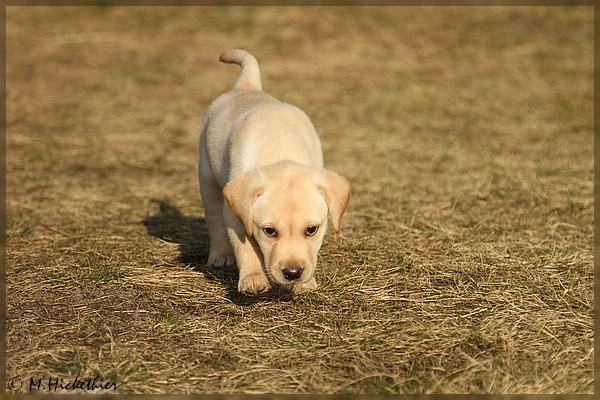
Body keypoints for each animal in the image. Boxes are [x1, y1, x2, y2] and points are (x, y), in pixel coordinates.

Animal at [199, 49, 351, 295]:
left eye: (312, 230)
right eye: (269, 231)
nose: (293, 273)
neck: (280, 151)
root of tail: (247, 87)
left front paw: (305, 283)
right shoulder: (234, 214)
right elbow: (245, 247)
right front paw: (253, 278)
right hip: (207, 176)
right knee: (213, 218)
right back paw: (220, 255)